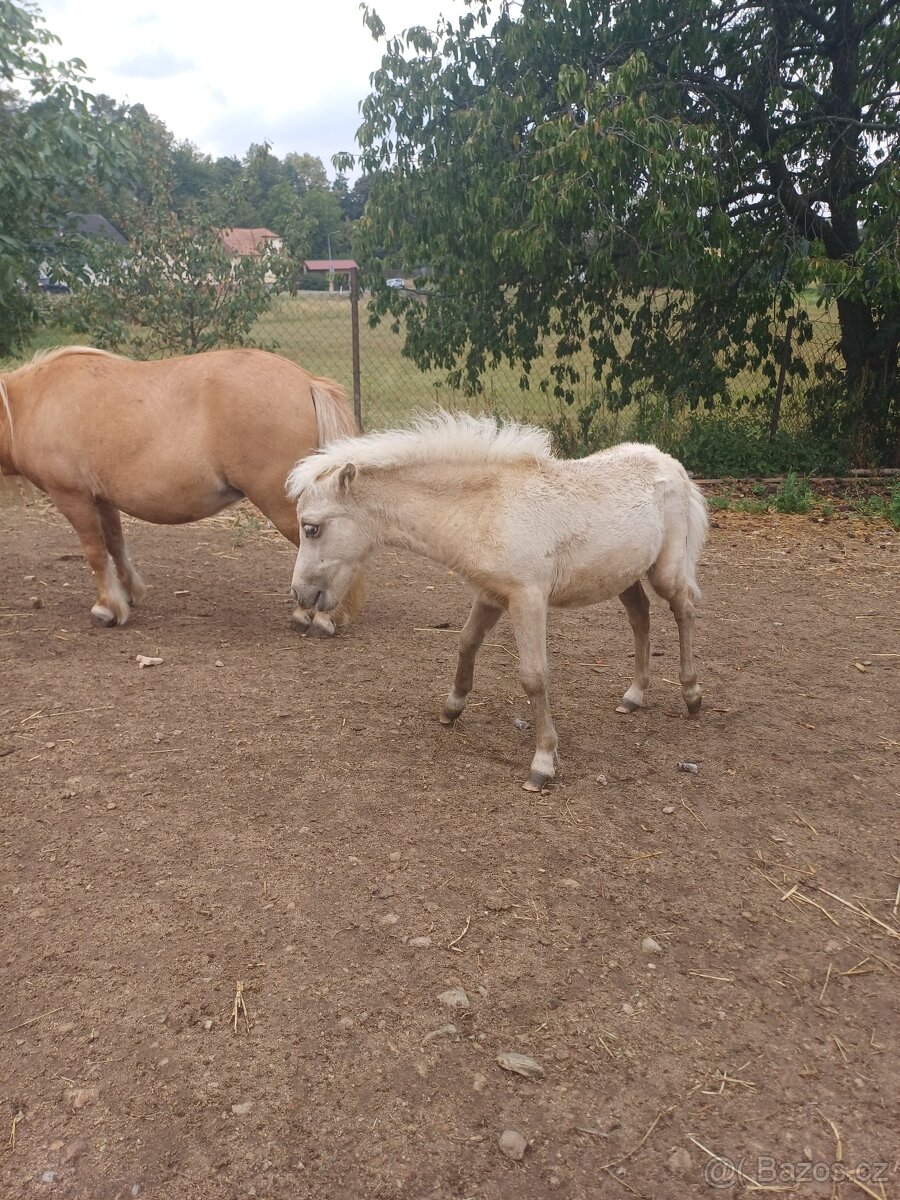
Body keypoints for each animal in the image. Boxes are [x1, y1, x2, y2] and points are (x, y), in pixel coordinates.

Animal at [0, 345, 363, 633]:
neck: (33, 401)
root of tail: (307, 382)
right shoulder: (102, 498)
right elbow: (115, 546)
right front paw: (130, 593)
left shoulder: (72, 497)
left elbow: (95, 552)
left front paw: (107, 608)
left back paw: (320, 615)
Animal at [286, 412, 708, 791]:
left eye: (312, 528)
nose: (301, 594)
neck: (487, 510)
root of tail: (670, 463)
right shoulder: (490, 594)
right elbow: (466, 643)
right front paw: (452, 708)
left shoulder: (528, 598)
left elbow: (534, 676)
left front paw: (542, 763)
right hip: (624, 574)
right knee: (641, 617)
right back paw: (633, 696)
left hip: (665, 571)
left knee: (683, 611)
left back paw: (691, 695)